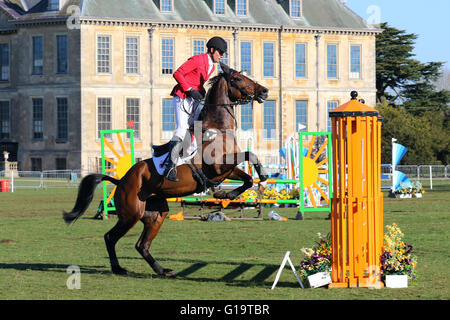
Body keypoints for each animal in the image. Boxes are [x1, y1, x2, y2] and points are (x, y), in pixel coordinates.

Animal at [61, 63, 268, 278]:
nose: (264, 91)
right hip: (131, 215)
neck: (217, 128)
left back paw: (162, 269)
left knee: (141, 245)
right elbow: (250, 155)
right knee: (110, 237)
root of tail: (122, 180)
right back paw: (119, 268)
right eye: (238, 79)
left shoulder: (227, 170)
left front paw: (227, 193)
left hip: (156, 214)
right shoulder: (219, 166)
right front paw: (254, 179)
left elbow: (248, 177)